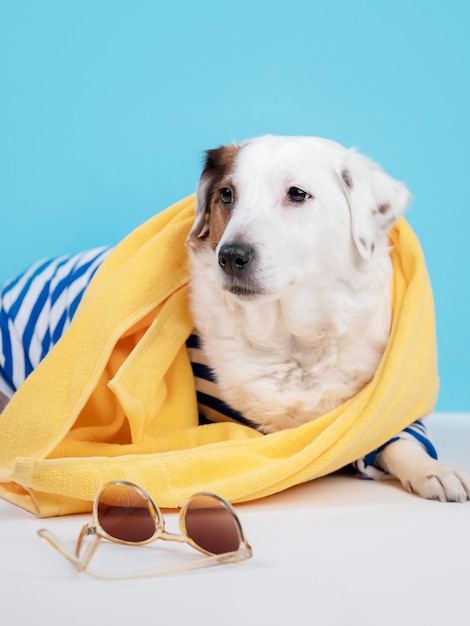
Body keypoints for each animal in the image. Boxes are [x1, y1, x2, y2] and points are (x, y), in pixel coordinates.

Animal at [186, 135, 470, 502]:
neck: (291, 338)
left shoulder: (374, 408)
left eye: (296, 193)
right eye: (226, 195)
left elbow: (395, 438)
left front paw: (432, 470)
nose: (231, 256)